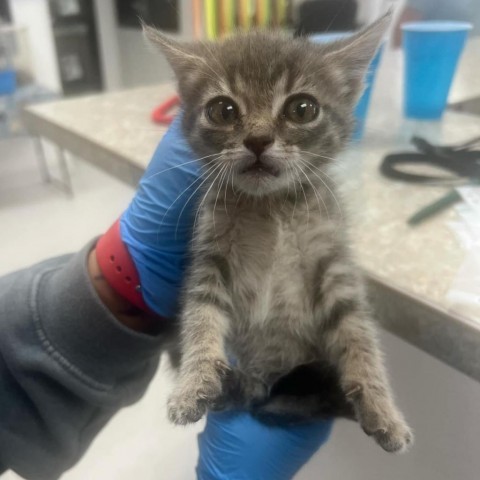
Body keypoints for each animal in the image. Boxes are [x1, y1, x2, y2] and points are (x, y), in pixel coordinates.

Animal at [145, 12, 412, 454]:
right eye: (223, 110)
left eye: (302, 109)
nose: (257, 139)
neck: (271, 208)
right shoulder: (210, 256)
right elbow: (201, 315)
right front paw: (193, 384)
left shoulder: (334, 260)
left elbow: (358, 331)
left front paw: (381, 408)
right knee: (255, 394)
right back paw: (235, 385)